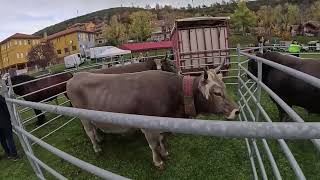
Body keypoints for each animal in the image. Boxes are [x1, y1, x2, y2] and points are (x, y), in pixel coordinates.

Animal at [67, 65, 238, 169]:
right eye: (217, 92)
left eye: (224, 87)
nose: (237, 110)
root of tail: (75, 77)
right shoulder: (148, 126)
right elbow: (153, 145)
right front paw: (158, 161)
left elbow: (162, 139)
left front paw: (164, 152)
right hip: (83, 116)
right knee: (89, 131)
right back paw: (97, 147)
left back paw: (100, 138)